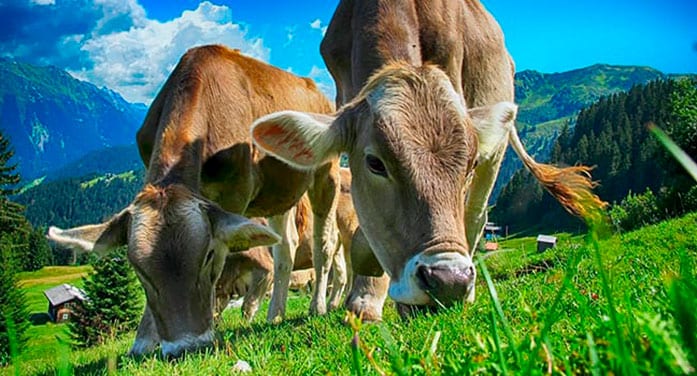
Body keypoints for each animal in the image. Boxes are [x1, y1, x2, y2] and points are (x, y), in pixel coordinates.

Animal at [44, 45, 340, 356]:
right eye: (138, 269)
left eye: (207, 255)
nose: (186, 346)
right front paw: (144, 341)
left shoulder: (234, 196)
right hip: (279, 191)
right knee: (286, 246)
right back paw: (276, 314)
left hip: (326, 173)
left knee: (324, 241)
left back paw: (318, 306)